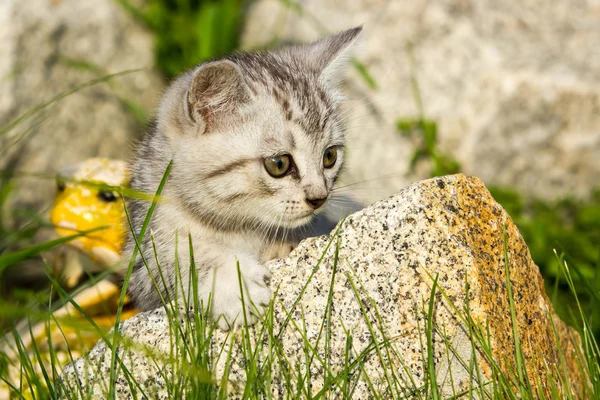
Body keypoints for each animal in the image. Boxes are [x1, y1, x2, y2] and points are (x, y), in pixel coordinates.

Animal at [122, 27, 360, 328]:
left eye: (329, 156)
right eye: (279, 164)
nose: (319, 198)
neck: (240, 228)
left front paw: (279, 248)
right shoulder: (141, 268)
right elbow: (182, 256)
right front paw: (234, 285)